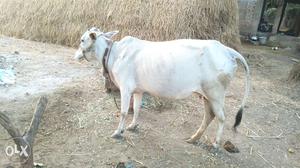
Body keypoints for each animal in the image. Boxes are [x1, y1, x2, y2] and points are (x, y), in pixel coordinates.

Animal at [74, 27, 251, 147]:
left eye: (82, 40)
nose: (75, 55)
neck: (114, 54)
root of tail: (225, 49)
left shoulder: (125, 88)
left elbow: (124, 112)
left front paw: (118, 132)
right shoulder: (138, 90)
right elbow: (136, 108)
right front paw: (132, 126)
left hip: (216, 93)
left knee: (221, 117)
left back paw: (216, 142)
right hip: (207, 95)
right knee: (209, 116)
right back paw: (193, 138)